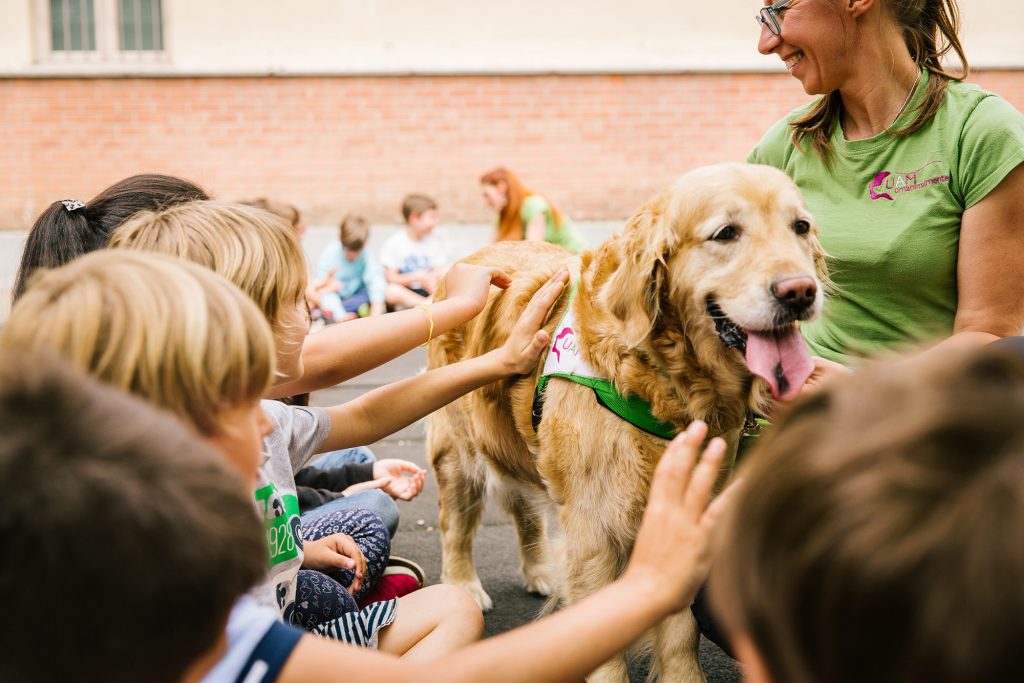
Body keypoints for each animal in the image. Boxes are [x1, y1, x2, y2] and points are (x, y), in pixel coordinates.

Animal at [428, 162, 827, 679]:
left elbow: (680, 630)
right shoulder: (594, 525)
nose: (801, 292)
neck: (664, 383)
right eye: (726, 233)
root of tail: (471, 260)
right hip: (458, 450)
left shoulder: (689, 509)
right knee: (456, 524)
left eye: (800, 227)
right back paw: (463, 587)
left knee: (525, 511)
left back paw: (540, 571)